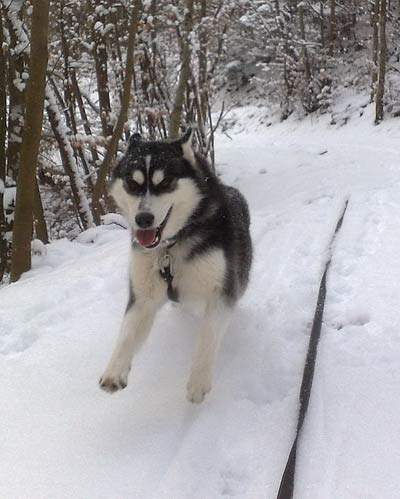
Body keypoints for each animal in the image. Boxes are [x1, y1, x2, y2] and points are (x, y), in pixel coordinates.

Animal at [99, 129, 252, 403]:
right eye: (133, 184)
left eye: (165, 182)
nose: (143, 219)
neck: (170, 247)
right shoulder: (143, 297)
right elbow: (126, 334)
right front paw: (114, 371)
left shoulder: (221, 291)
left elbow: (208, 335)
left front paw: (198, 381)